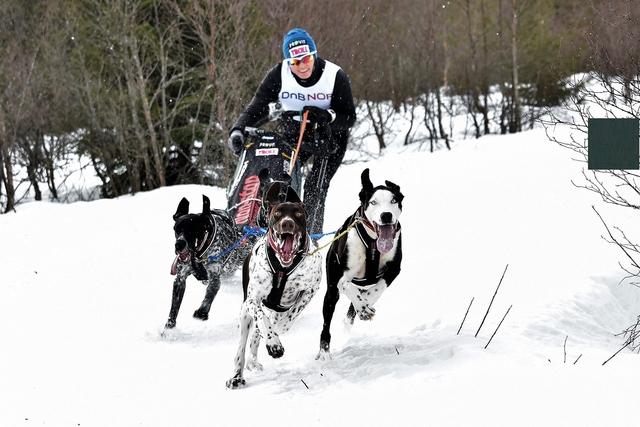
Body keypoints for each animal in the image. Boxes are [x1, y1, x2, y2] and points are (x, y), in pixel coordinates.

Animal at [165, 196, 252, 332]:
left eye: (192, 230)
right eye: (176, 229)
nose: (179, 245)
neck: (198, 255)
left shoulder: (214, 276)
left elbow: (210, 293)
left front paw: (202, 311)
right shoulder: (180, 279)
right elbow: (175, 305)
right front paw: (170, 324)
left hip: (235, 260)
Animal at [228, 182, 322, 390]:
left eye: (297, 213)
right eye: (278, 213)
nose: (287, 223)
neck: (282, 267)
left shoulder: (310, 291)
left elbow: (287, 320)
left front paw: (276, 334)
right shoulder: (253, 300)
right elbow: (262, 319)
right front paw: (273, 343)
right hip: (244, 314)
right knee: (241, 348)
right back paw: (237, 376)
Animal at [316, 169, 402, 362]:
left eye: (393, 201)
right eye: (373, 202)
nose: (386, 215)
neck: (373, 243)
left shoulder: (394, 268)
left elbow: (377, 289)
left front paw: (365, 305)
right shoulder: (342, 277)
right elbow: (347, 285)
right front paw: (363, 307)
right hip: (331, 293)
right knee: (326, 322)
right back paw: (324, 351)